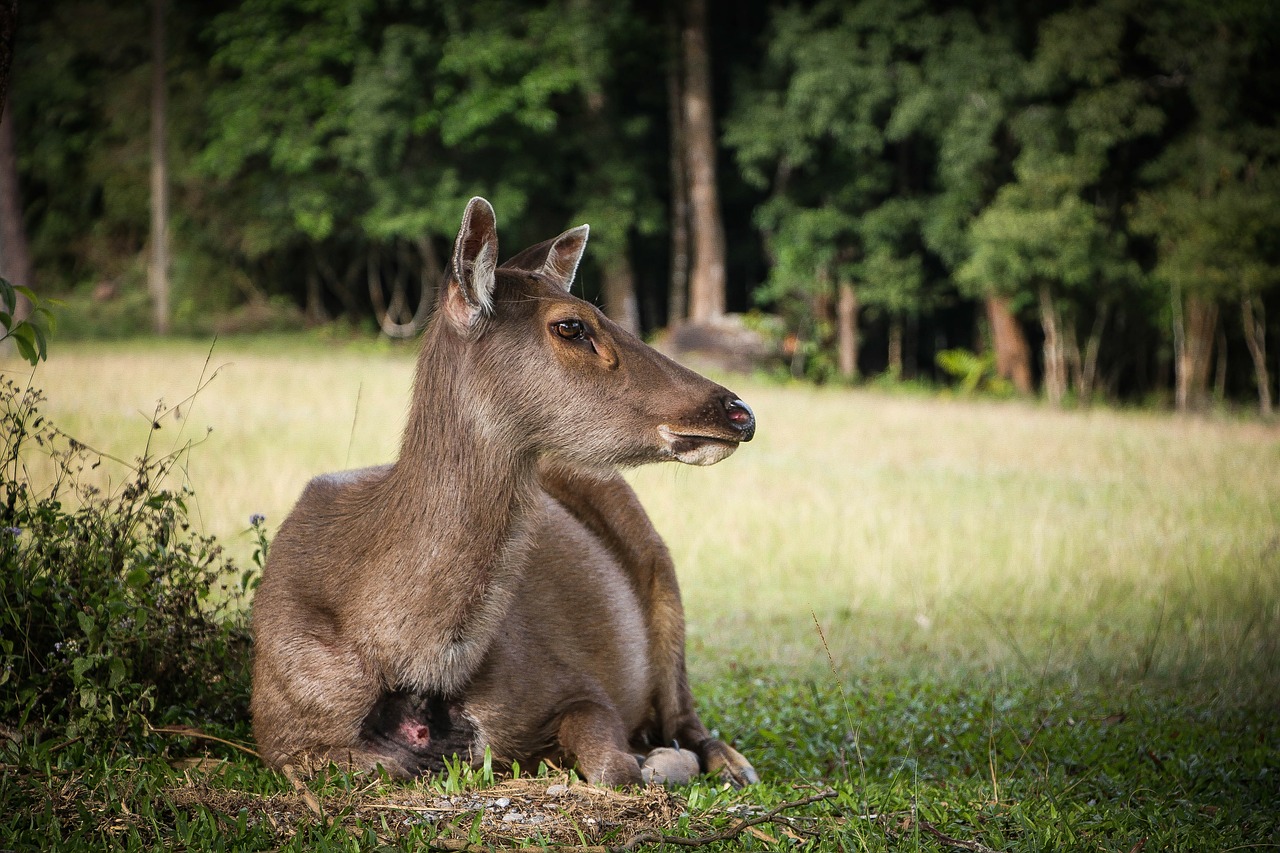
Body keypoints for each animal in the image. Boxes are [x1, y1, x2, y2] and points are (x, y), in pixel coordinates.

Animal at [249, 197, 757, 783]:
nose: (738, 411)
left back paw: (729, 762)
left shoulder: (567, 679)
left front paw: (655, 760)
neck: (418, 664)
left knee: (683, 710)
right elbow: (378, 765)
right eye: (571, 325)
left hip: (660, 569)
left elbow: (614, 764)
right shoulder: (280, 731)